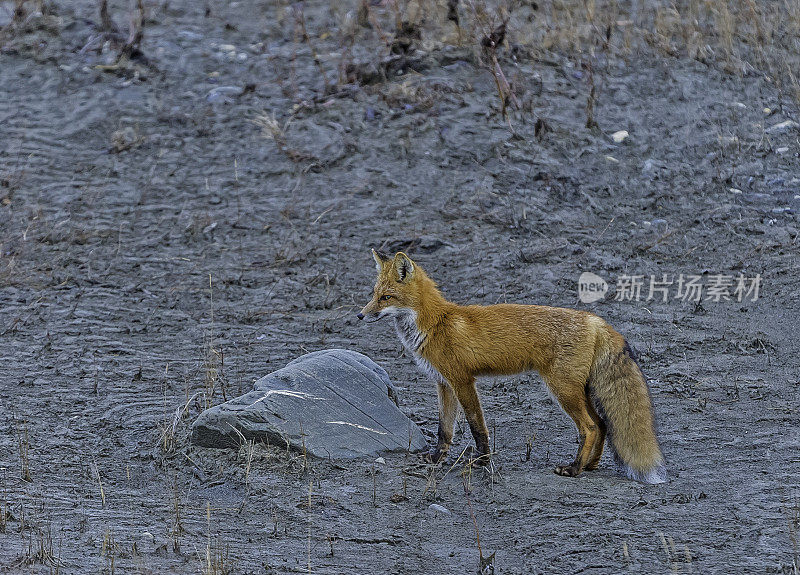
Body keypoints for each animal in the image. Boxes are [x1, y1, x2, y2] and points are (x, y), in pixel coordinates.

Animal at [360, 250, 664, 484]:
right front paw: (436, 458)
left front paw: (482, 461)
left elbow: (477, 425)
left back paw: (574, 468)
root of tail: (594, 320)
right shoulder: (443, 383)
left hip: (563, 389)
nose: (361, 315)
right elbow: (444, 429)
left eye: (386, 298)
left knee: (589, 427)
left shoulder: (462, 380)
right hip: (580, 390)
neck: (436, 324)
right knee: (602, 424)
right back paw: (590, 465)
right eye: (373, 294)